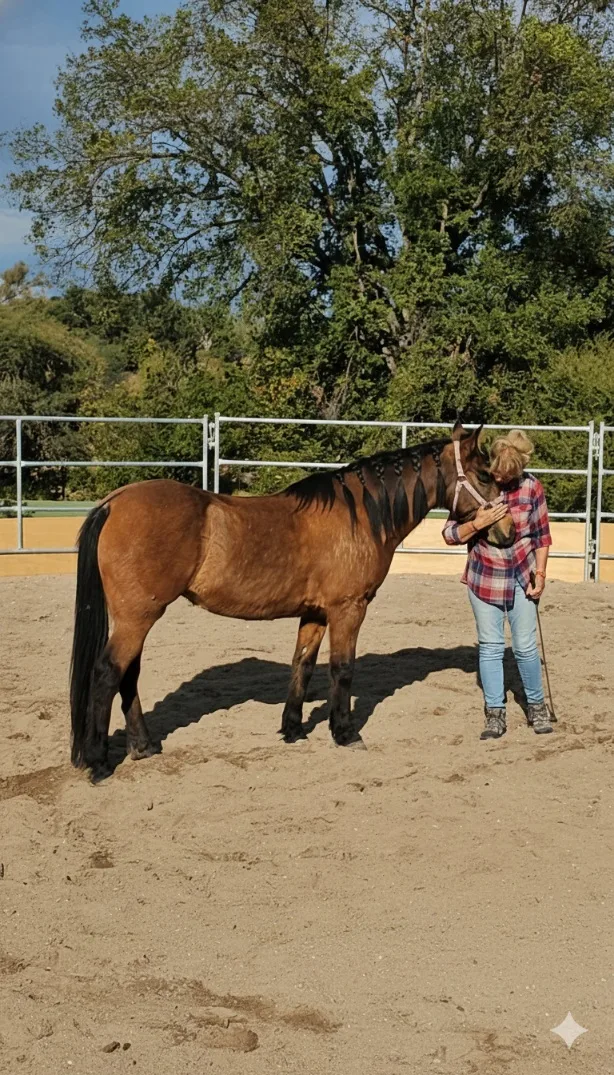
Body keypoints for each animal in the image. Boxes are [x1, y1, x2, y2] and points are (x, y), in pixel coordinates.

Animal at [70, 420, 515, 780]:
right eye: (483, 474)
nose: (507, 531)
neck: (360, 515)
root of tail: (114, 502)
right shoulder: (348, 608)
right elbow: (342, 669)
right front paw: (344, 732)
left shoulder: (315, 614)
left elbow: (302, 665)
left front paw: (293, 729)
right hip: (138, 616)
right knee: (107, 673)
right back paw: (98, 761)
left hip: (138, 616)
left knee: (128, 675)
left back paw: (143, 746)